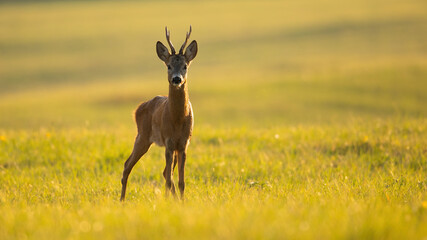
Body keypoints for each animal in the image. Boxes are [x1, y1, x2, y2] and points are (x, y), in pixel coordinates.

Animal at [119, 26, 198, 202]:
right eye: (168, 65)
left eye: (185, 66)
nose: (176, 79)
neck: (177, 120)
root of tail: (138, 108)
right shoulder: (168, 141)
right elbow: (169, 179)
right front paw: (169, 201)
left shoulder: (184, 143)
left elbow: (181, 181)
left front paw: (182, 202)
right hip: (142, 136)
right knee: (127, 165)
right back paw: (121, 200)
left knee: (164, 172)